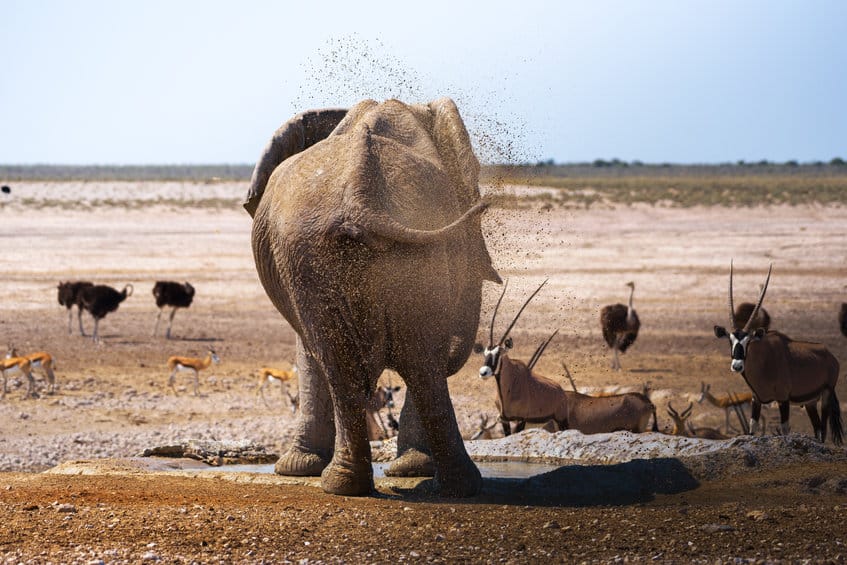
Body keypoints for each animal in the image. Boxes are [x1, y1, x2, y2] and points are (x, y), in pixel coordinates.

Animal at [245, 99, 500, 496]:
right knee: (417, 363)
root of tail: (360, 195)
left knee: (381, 363)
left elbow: (309, 353)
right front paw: (296, 469)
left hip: (327, 253)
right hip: (320, 254)